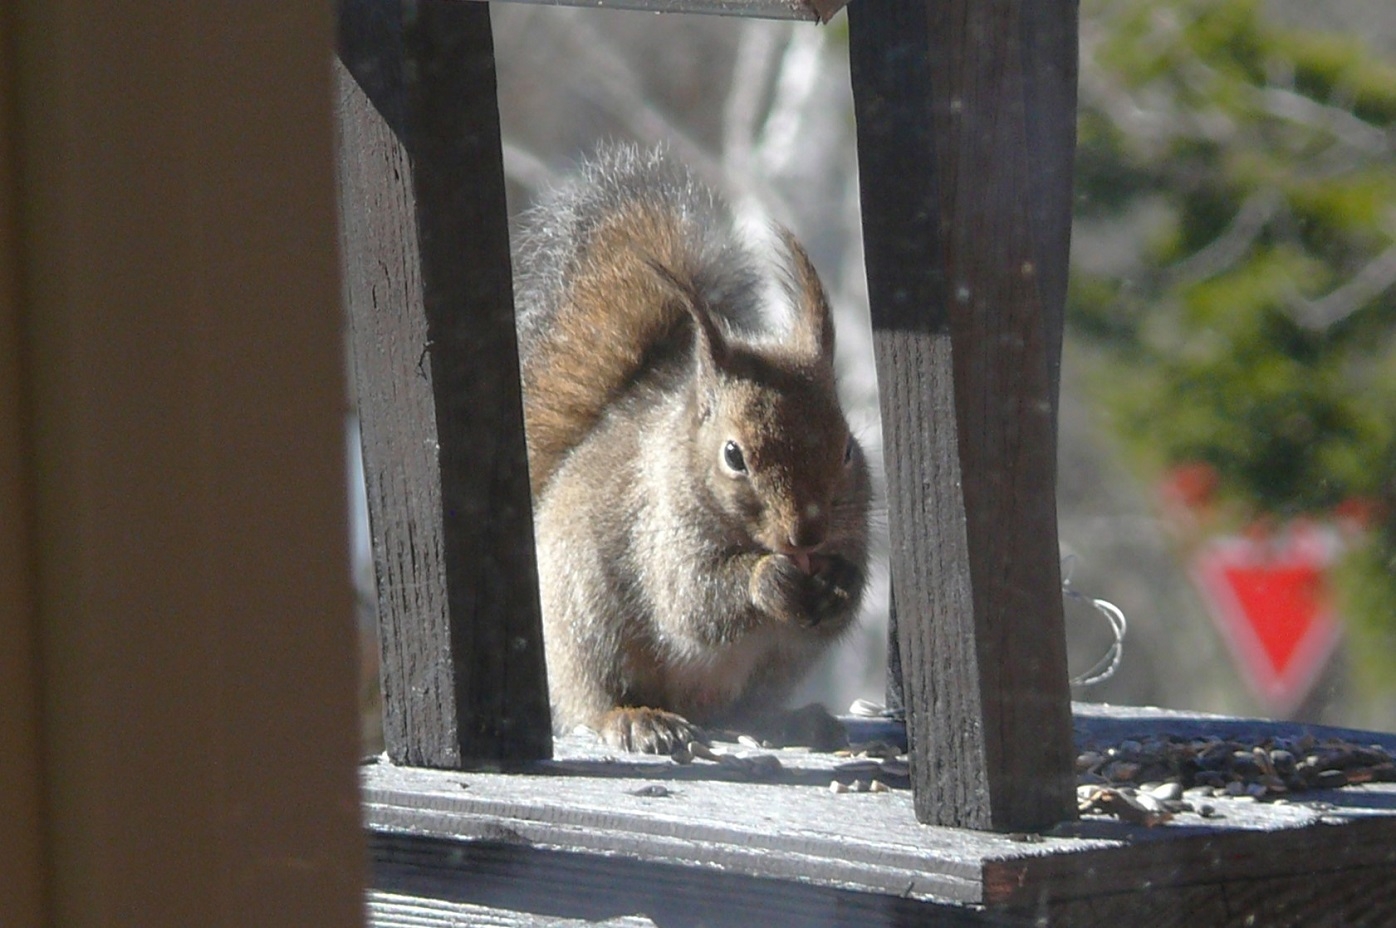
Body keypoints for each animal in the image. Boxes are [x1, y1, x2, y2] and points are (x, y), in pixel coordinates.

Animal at [513, 146, 865, 753]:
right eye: (733, 456)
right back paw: (638, 719)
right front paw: (768, 579)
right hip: (587, 627)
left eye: (847, 449)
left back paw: (793, 721)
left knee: (743, 710)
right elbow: (692, 600)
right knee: (595, 701)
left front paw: (839, 583)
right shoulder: (660, 531)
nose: (806, 535)